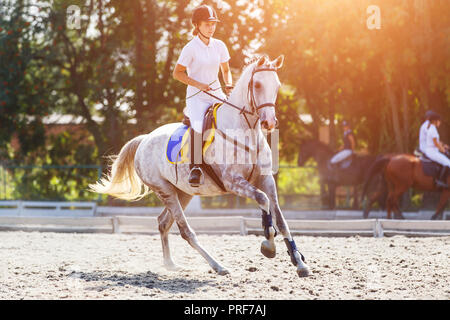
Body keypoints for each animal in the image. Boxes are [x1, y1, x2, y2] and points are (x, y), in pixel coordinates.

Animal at [89, 55, 312, 278]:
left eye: (277, 85)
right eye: (257, 85)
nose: (269, 123)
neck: (246, 132)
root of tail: (144, 140)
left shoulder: (265, 179)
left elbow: (280, 219)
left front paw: (299, 262)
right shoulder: (233, 181)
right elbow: (262, 199)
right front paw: (268, 245)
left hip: (183, 192)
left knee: (163, 223)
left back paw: (171, 264)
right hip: (165, 190)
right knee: (185, 231)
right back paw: (218, 266)